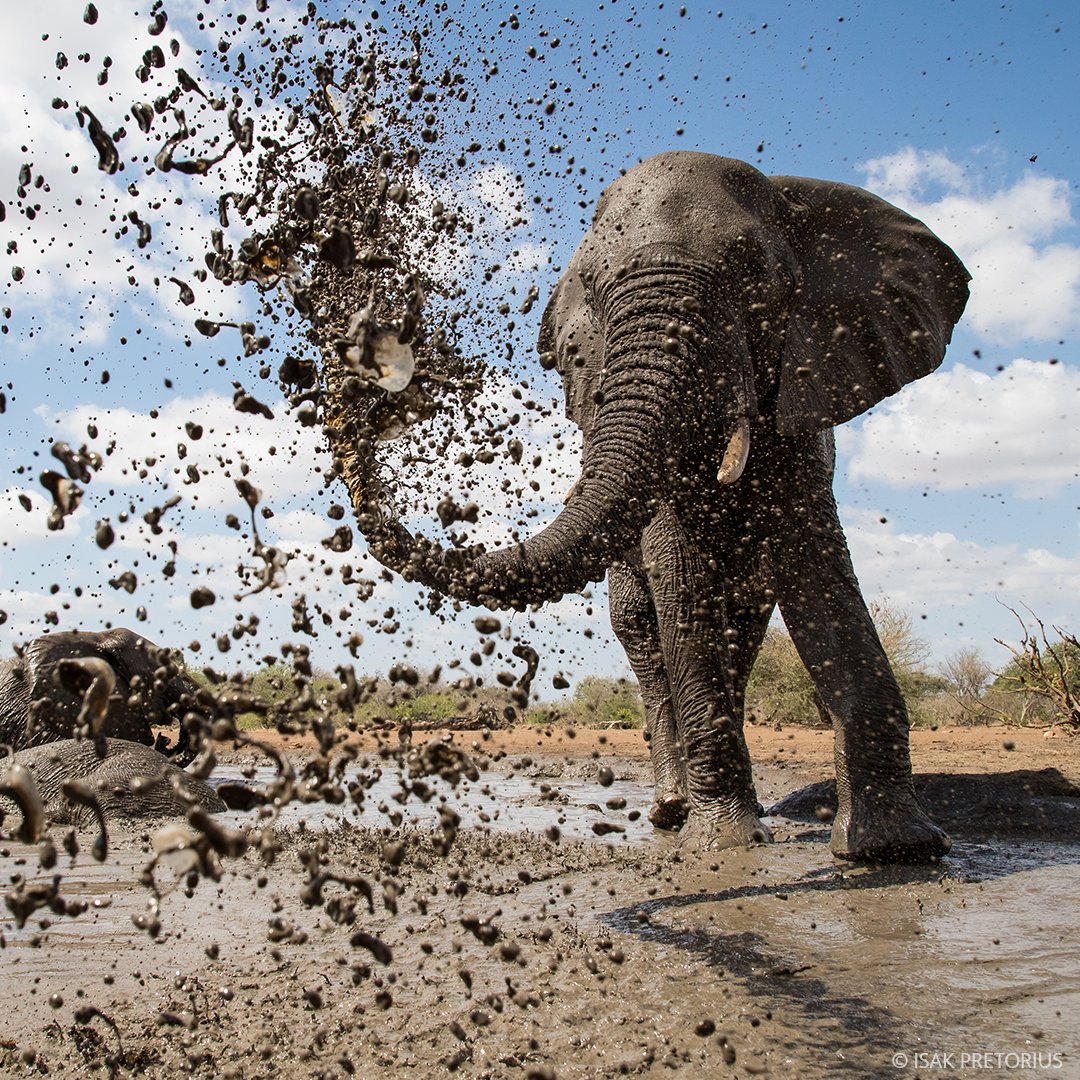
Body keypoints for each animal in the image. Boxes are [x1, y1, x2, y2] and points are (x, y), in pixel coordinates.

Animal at [330, 151, 969, 863]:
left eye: (755, 275)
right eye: (595, 288)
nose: (367, 403)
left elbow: (820, 576)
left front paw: (896, 850)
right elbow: (681, 576)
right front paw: (724, 846)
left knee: (738, 626)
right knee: (645, 628)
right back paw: (672, 810)